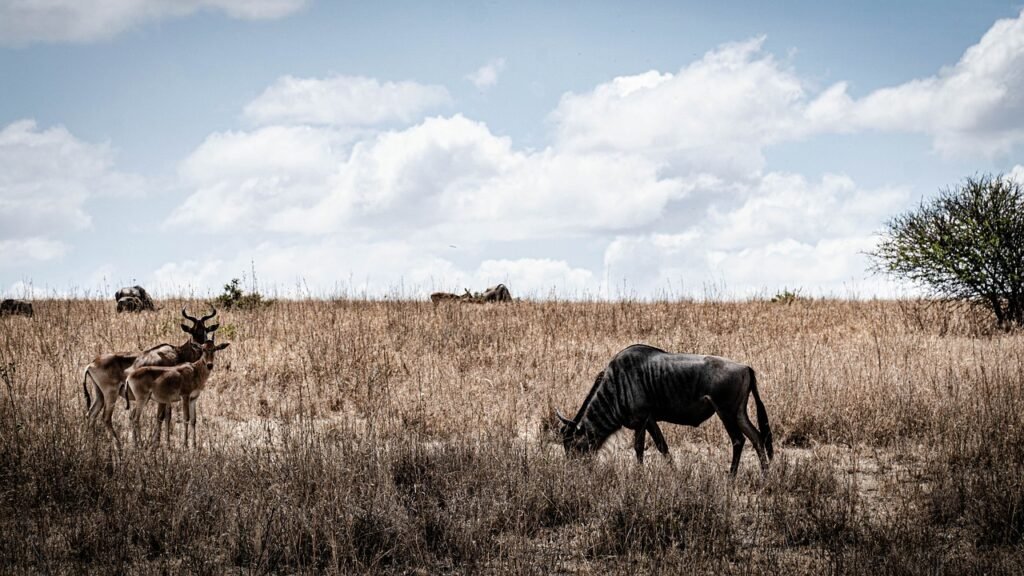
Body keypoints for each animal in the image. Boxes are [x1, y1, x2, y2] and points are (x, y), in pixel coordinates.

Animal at [556, 344, 774, 475]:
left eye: (573, 446)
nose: (572, 472)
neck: (616, 385)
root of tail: (745, 367)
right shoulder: (648, 421)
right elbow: (657, 447)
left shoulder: (643, 420)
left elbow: (645, 447)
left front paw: (643, 475)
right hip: (739, 413)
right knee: (756, 437)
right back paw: (765, 474)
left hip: (725, 413)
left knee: (739, 440)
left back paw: (731, 476)